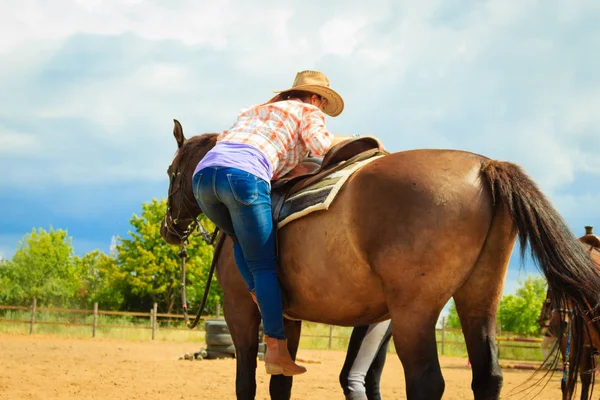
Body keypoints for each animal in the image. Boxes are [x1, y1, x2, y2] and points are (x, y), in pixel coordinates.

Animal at [159, 121, 600, 400]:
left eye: (170, 172)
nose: (168, 228)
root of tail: (484, 165)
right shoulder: (287, 317)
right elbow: (281, 383)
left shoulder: (241, 312)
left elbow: (246, 384)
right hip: (480, 296)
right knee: (487, 377)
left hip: (414, 312)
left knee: (426, 383)